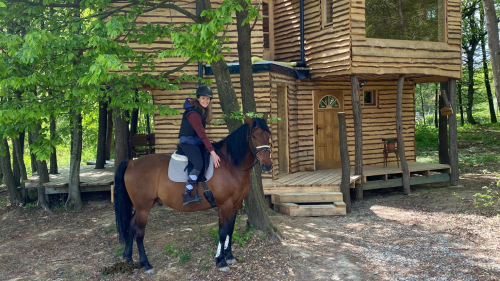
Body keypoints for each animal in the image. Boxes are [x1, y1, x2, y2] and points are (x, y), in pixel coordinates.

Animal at [113, 114, 272, 274]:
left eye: (268, 135)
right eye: (254, 136)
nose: (267, 165)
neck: (230, 165)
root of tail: (131, 163)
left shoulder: (236, 204)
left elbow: (230, 230)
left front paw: (230, 256)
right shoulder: (224, 205)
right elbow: (222, 231)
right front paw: (220, 261)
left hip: (140, 207)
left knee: (131, 225)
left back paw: (128, 256)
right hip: (144, 208)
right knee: (139, 233)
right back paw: (146, 264)